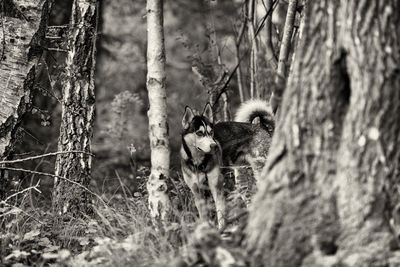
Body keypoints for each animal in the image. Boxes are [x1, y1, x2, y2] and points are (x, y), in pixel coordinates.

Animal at [182, 99, 276, 229]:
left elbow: (221, 215)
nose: (214, 146)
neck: (200, 163)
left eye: (211, 133)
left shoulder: (217, 188)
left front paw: (222, 230)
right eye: (199, 133)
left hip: (260, 170)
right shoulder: (197, 193)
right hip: (241, 183)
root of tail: (261, 127)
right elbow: (204, 218)